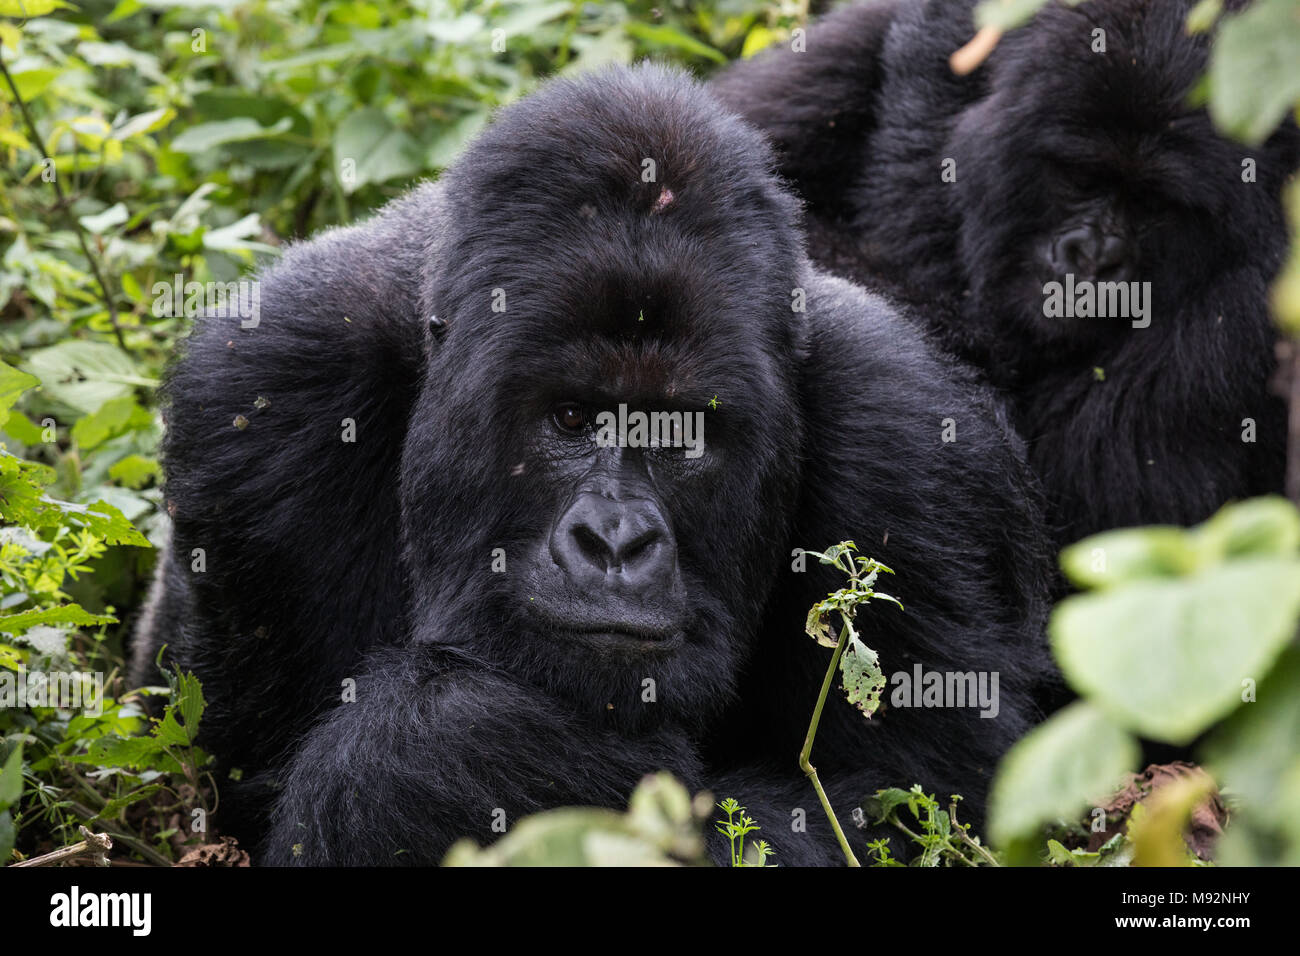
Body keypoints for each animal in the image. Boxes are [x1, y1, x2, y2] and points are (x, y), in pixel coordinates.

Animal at [131, 63, 1050, 863]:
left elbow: (907, 799)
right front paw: (463, 748)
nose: (615, 541)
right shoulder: (263, 396)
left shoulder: (910, 438)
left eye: (681, 434)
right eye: (571, 417)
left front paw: (431, 755)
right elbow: (245, 783)